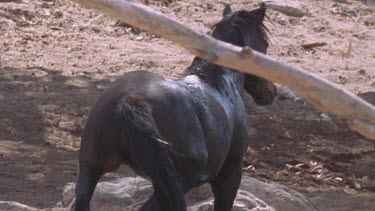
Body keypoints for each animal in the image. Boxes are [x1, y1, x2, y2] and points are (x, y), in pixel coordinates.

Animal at [74, 4, 276, 211]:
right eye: (265, 44)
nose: (271, 91)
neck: (220, 81)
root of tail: (130, 99)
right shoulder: (230, 176)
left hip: (92, 168)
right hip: (178, 181)